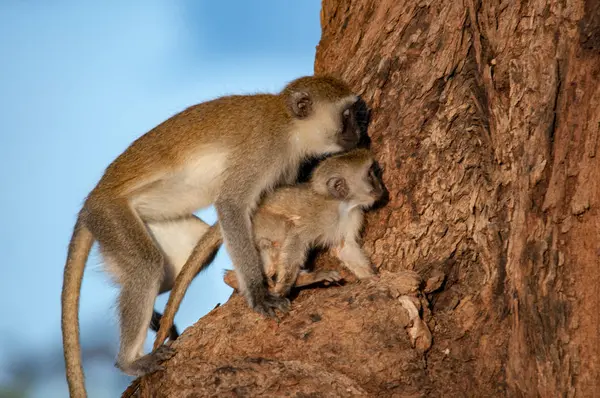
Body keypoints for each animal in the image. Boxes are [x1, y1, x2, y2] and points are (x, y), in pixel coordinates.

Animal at [62, 75, 360, 398]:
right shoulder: (264, 150)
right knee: (146, 264)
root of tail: (92, 199)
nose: (358, 133)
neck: (288, 123)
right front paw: (258, 294)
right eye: (346, 115)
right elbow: (232, 205)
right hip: (109, 214)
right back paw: (130, 361)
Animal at [155, 148, 384, 348]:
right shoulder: (318, 216)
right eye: (370, 174)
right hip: (257, 225)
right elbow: (297, 236)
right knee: (283, 230)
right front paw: (283, 289)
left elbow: (344, 249)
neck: (341, 205)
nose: (381, 188)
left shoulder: (352, 217)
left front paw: (372, 276)